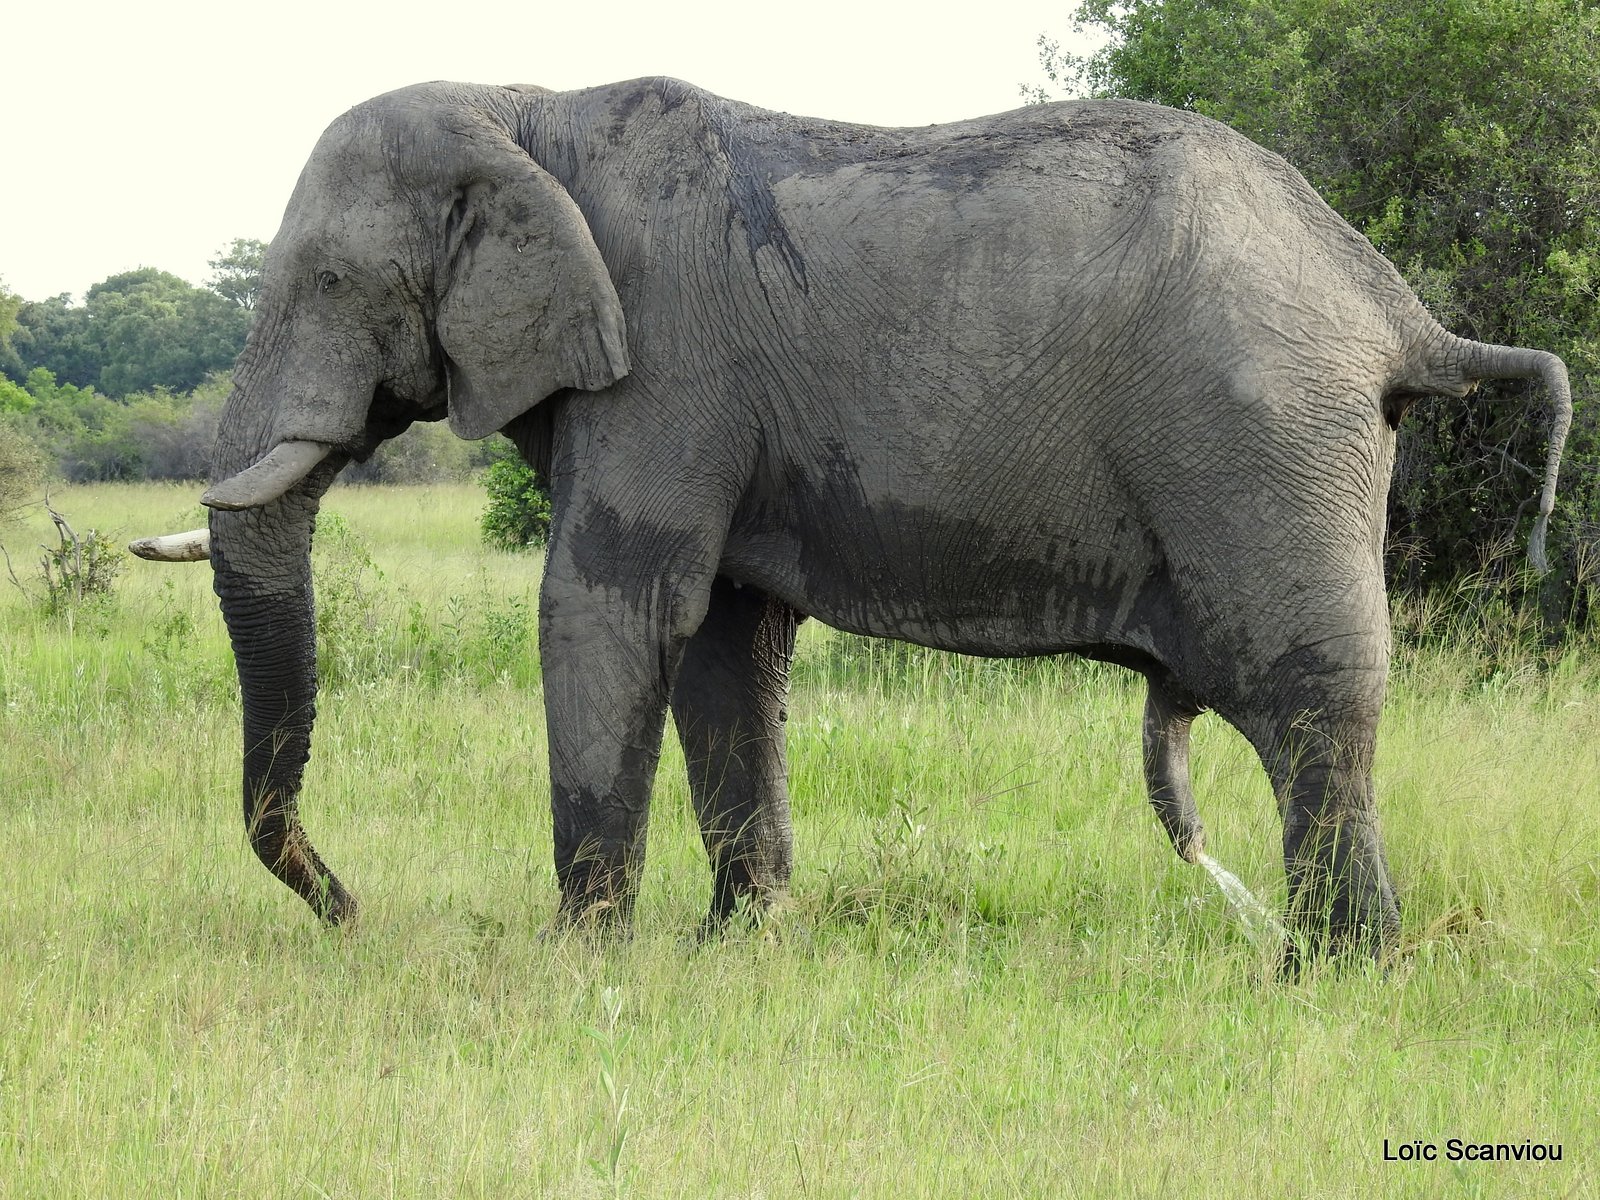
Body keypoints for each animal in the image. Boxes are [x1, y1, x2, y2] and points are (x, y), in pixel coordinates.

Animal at [137, 80, 1561, 966]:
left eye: (330, 281)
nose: (350, 914)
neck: (524, 107)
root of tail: (1395, 308)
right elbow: (722, 638)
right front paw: (737, 950)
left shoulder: (670, 366)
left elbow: (611, 606)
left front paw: (574, 964)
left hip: (1262, 444)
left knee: (1311, 699)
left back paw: (1331, 975)